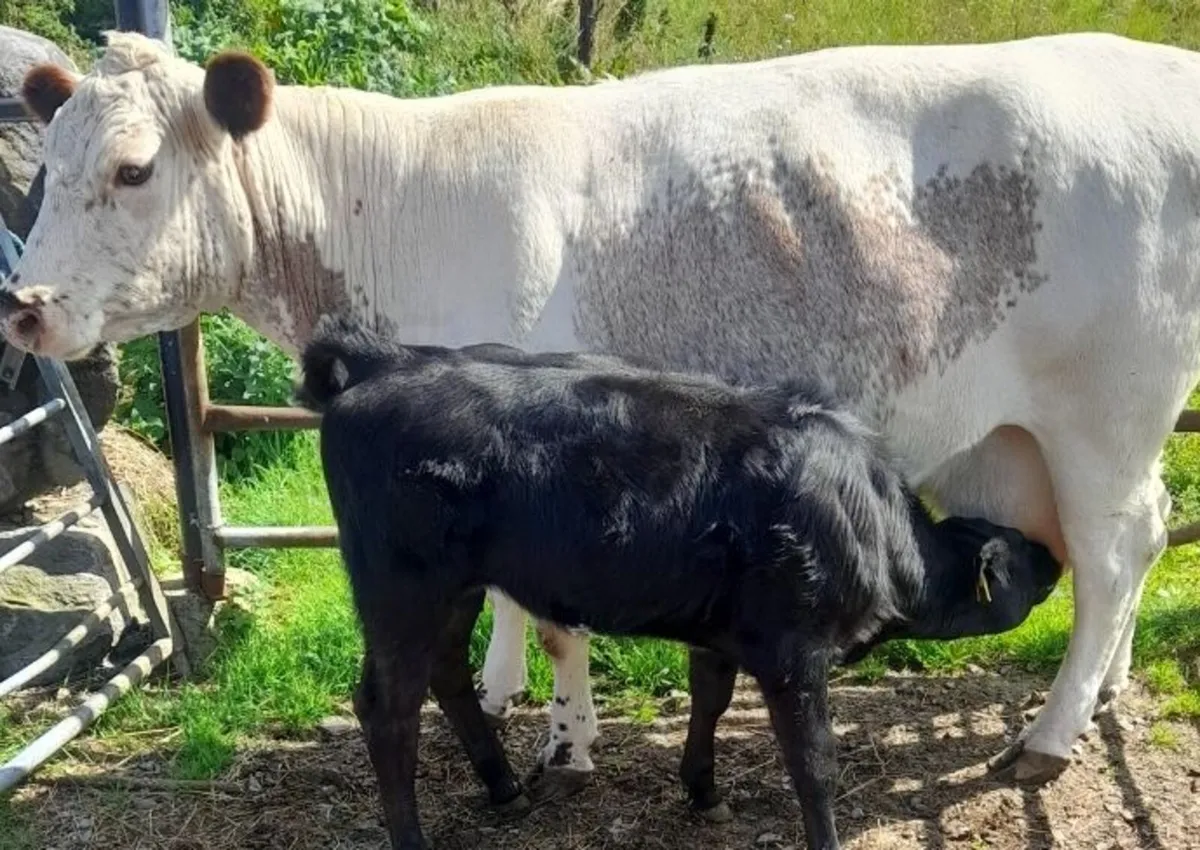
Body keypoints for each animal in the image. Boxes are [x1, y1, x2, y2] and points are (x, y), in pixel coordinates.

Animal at [1, 29, 1194, 794]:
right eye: (44, 169)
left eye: (134, 169)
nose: (24, 304)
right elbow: (509, 609)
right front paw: (504, 693)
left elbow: (552, 614)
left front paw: (566, 739)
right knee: (1130, 550)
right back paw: (1104, 690)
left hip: (1104, 413)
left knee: (1117, 549)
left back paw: (1051, 732)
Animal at [295, 313, 1063, 850]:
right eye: (1022, 559)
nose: (1057, 559)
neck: (867, 520)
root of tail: (390, 359)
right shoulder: (795, 651)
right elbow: (814, 761)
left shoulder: (723, 631)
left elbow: (710, 700)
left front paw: (702, 788)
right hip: (402, 588)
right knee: (387, 710)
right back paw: (414, 833)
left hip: (454, 588)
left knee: (447, 672)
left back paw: (504, 786)